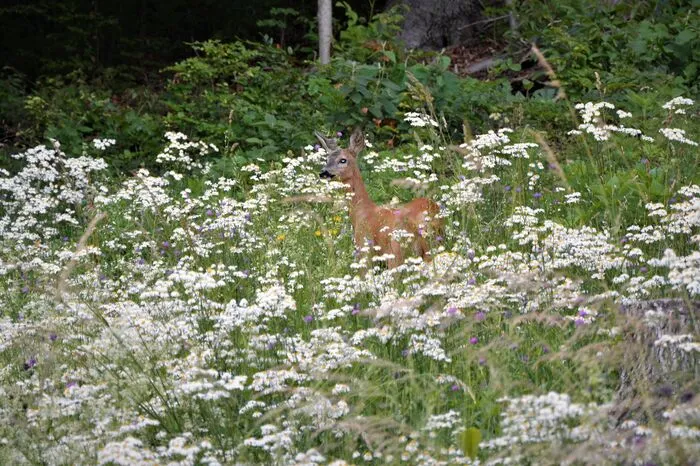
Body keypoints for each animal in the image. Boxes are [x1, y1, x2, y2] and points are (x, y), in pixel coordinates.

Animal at [316, 128, 443, 270]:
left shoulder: (363, 246)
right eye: (327, 159)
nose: (323, 172)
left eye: (343, 160)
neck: (362, 212)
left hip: (396, 252)